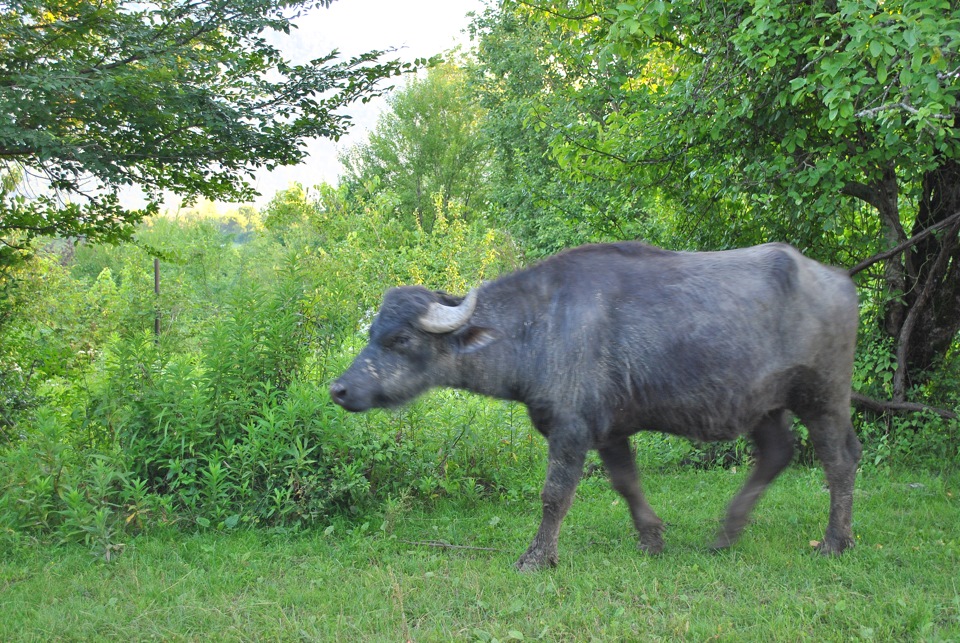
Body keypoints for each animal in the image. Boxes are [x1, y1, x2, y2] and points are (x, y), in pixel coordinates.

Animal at [330, 243, 864, 572]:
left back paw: (834, 542)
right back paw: (726, 533)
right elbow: (626, 483)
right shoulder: (610, 430)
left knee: (840, 462)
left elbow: (554, 494)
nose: (339, 390)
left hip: (823, 398)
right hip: (765, 405)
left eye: (400, 339)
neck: (541, 326)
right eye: (372, 332)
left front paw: (537, 557)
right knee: (776, 454)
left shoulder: (571, 428)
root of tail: (837, 280)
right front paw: (652, 539)